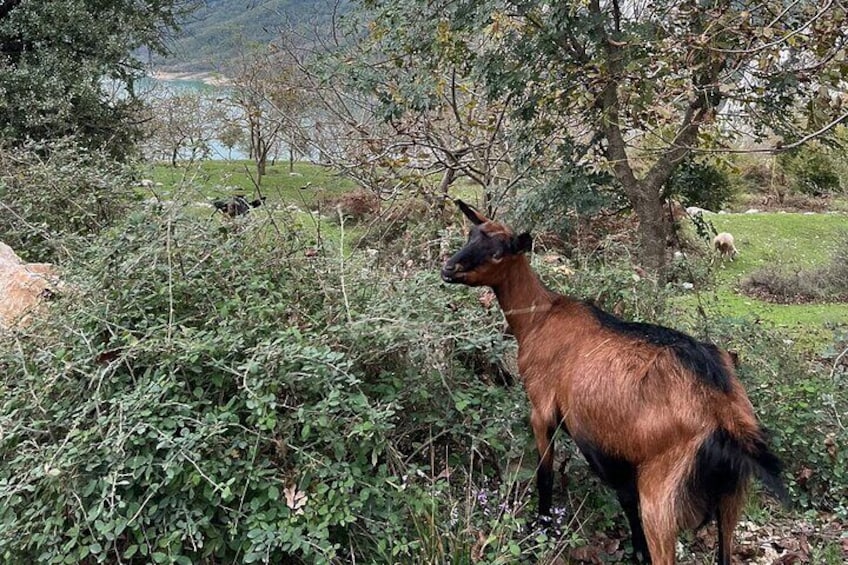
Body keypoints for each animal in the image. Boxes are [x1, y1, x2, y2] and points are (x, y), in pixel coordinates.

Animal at [444, 202, 788, 564]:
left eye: (498, 254)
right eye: (470, 235)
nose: (448, 268)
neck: (538, 318)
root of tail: (724, 412)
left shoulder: (541, 408)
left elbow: (544, 475)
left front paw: (541, 531)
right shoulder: (613, 452)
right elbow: (625, 501)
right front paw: (634, 551)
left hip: (662, 491)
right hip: (731, 497)